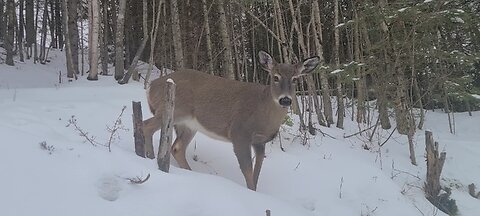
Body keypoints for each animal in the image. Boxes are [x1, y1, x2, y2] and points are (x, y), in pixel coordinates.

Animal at [144, 51, 320, 191]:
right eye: (275, 77)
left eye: (295, 79)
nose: (285, 100)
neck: (262, 114)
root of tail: (151, 86)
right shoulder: (239, 133)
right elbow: (247, 170)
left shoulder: (260, 142)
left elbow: (257, 171)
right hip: (172, 110)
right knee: (146, 126)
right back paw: (150, 158)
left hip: (188, 125)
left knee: (176, 148)